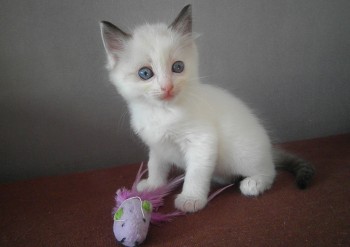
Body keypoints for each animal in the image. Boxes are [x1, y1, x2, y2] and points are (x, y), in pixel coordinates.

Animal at [100, 4, 314, 212]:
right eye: (145, 73)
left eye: (178, 67)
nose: (167, 87)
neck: (162, 112)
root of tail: (269, 150)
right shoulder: (157, 146)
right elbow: (156, 165)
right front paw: (153, 186)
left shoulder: (201, 141)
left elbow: (195, 174)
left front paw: (191, 199)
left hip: (243, 153)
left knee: (270, 171)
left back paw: (254, 183)